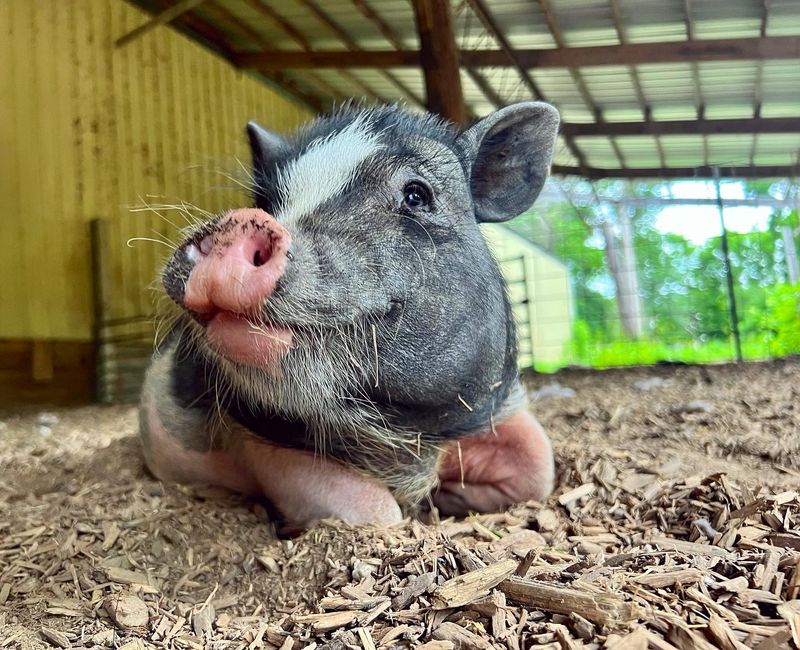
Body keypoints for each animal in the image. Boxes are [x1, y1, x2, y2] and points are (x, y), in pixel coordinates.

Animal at [139, 101, 559, 530]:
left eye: (416, 195)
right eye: (267, 203)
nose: (239, 221)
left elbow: (540, 466)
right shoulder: (264, 445)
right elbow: (377, 512)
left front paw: (448, 500)